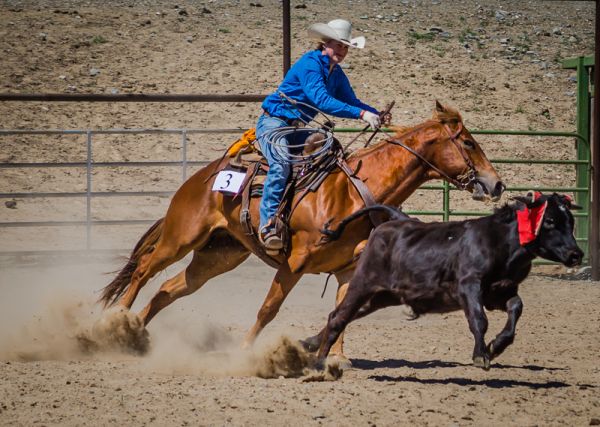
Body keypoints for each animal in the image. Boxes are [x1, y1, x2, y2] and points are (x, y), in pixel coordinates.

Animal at [101, 102, 504, 360]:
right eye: (469, 143)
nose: (497, 184)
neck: (352, 192)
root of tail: (199, 177)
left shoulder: (347, 270)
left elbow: (343, 309)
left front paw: (334, 358)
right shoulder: (293, 264)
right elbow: (269, 309)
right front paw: (245, 351)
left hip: (218, 256)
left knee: (169, 289)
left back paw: (136, 331)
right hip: (181, 237)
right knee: (144, 269)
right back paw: (117, 322)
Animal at [316, 194, 584, 372]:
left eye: (571, 221)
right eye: (549, 221)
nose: (576, 254)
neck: (501, 242)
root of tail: (396, 220)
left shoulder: (499, 292)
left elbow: (515, 308)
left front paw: (496, 346)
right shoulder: (469, 286)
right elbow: (479, 320)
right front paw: (481, 355)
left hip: (381, 296)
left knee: (344, 315)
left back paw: (311, 345)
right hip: (364, 283)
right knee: (338, 317)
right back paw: (318, 362)